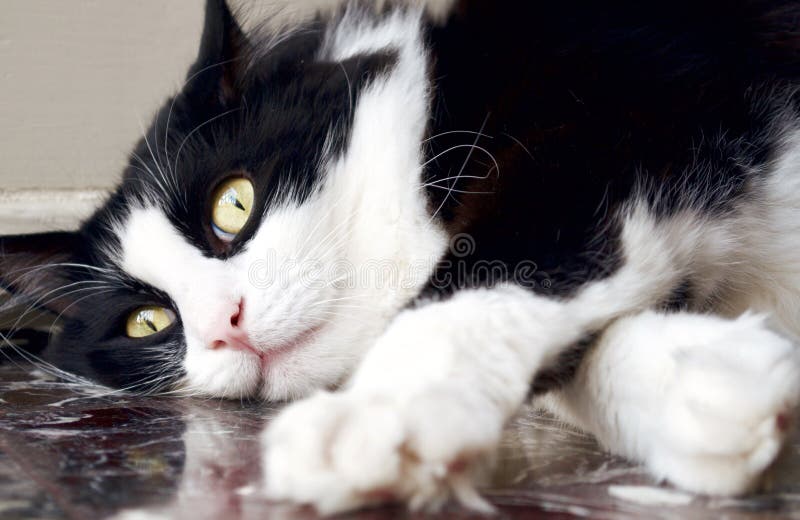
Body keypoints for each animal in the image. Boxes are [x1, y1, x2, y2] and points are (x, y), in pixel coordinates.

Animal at [1, 0, 800, 512]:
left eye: (233, 204)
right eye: (147, 323)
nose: (227, 324)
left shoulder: (632, 112)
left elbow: (502, 263)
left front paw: (373, 415)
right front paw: (713, 381)